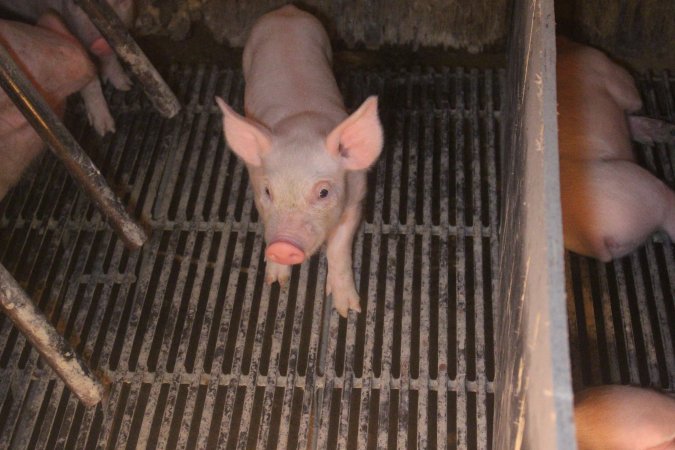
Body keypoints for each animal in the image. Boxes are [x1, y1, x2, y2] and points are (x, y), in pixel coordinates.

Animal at [0, 0, 135, 135]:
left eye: (122, 2)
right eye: (75, 4)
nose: (100, 45)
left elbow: (112, 57)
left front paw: (126, 86)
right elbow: (90, 81)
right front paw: (105, 130)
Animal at [217, 5, 386, 318]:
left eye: (323, 192)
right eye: (269, 191)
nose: (283, 246)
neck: (302, 126)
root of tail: (288, 9)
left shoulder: (356, 198)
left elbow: (338, 247)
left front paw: (348, 310)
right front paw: (276, 281)